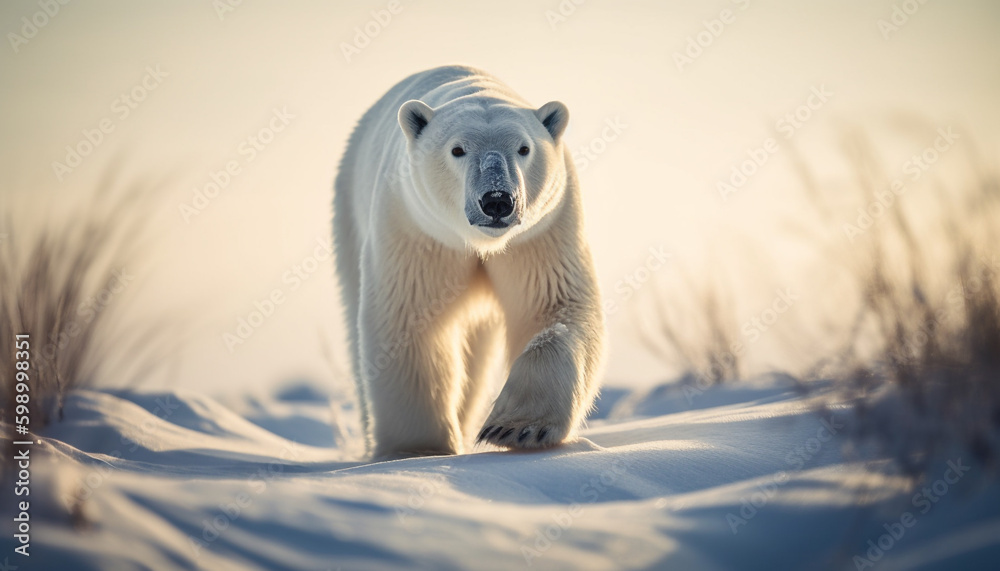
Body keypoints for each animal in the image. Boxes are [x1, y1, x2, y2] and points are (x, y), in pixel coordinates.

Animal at [334, 66, 600, 460]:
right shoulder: (418, 229)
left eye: (524, 148)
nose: (497, 200)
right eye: (457, 149)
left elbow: (553, 307)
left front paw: (517, 428)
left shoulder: (541, 231)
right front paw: (418, 449)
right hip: (350, 213)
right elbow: (412, 322)